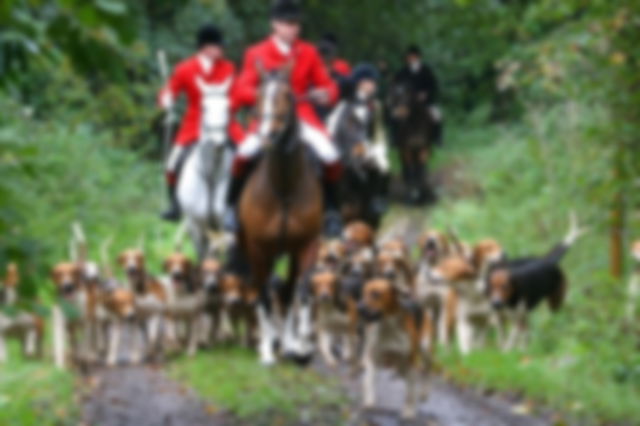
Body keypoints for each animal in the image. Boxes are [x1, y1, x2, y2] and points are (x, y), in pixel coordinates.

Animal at [178, 76, 232, 260]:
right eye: (203, 107)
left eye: (227, 106)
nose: (219, 144)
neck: (211, 176)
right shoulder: (196, 227)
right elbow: (202, 257)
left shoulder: (225, 227)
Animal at [238, 63, 322, 366]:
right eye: (259, 95)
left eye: (287, 94)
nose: (269, 136)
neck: (284, 186)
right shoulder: (257, 247)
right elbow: (263, 293)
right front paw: (266, 349)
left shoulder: (307, 244)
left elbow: (299, 291)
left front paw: (298, 346)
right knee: (259, 287)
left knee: (285, 291)